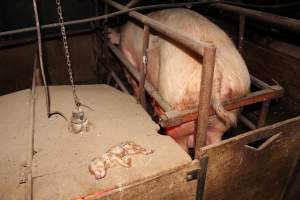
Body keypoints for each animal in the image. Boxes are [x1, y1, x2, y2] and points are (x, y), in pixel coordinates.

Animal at [109, 8, 250, 152]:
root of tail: (216, 71)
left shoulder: (128, 59)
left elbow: (134, 83)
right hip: (228, 113)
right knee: (214, 140)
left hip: (178, 115)